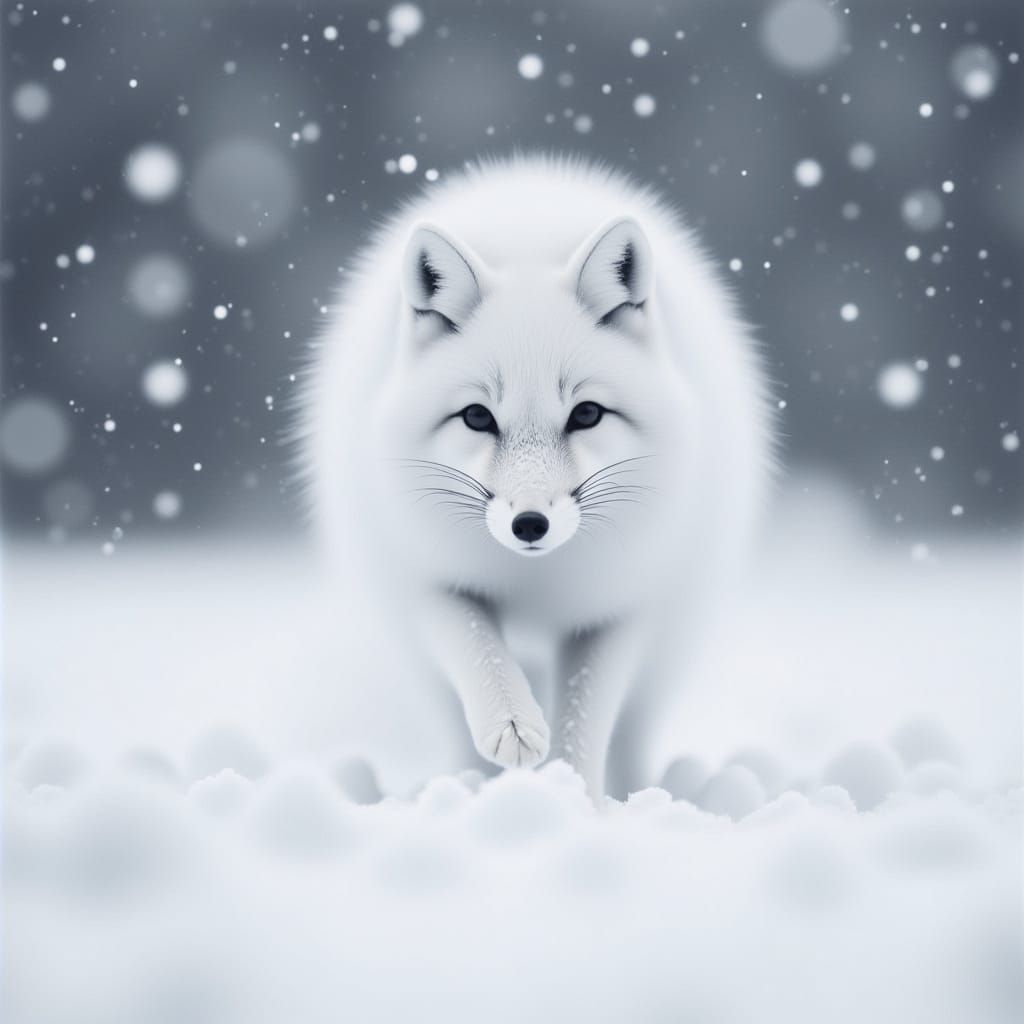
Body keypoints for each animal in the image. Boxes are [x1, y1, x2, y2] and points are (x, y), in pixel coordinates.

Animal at [298, 155, 774, 801]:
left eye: (587, 414)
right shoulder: (424, 578)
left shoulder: (620, 605)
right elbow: (479, 652)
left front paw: (572, 795)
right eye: (477, 417)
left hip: (674, 633)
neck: (538, 582)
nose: (530, 524)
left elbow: (586, 715)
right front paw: (513, 726)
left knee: (634, 727)